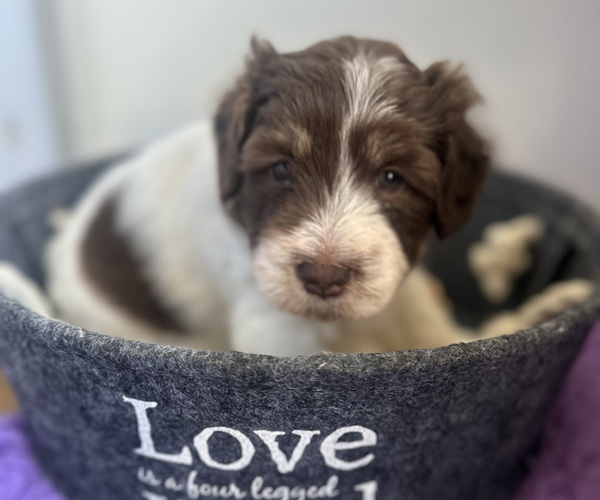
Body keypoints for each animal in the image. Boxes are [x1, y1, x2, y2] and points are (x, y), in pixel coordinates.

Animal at [43, 36, 490, 356]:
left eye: (392, 178)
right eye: (280, 169)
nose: (323, 277)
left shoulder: (397, 279)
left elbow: (420, 315)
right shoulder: (274, 324)